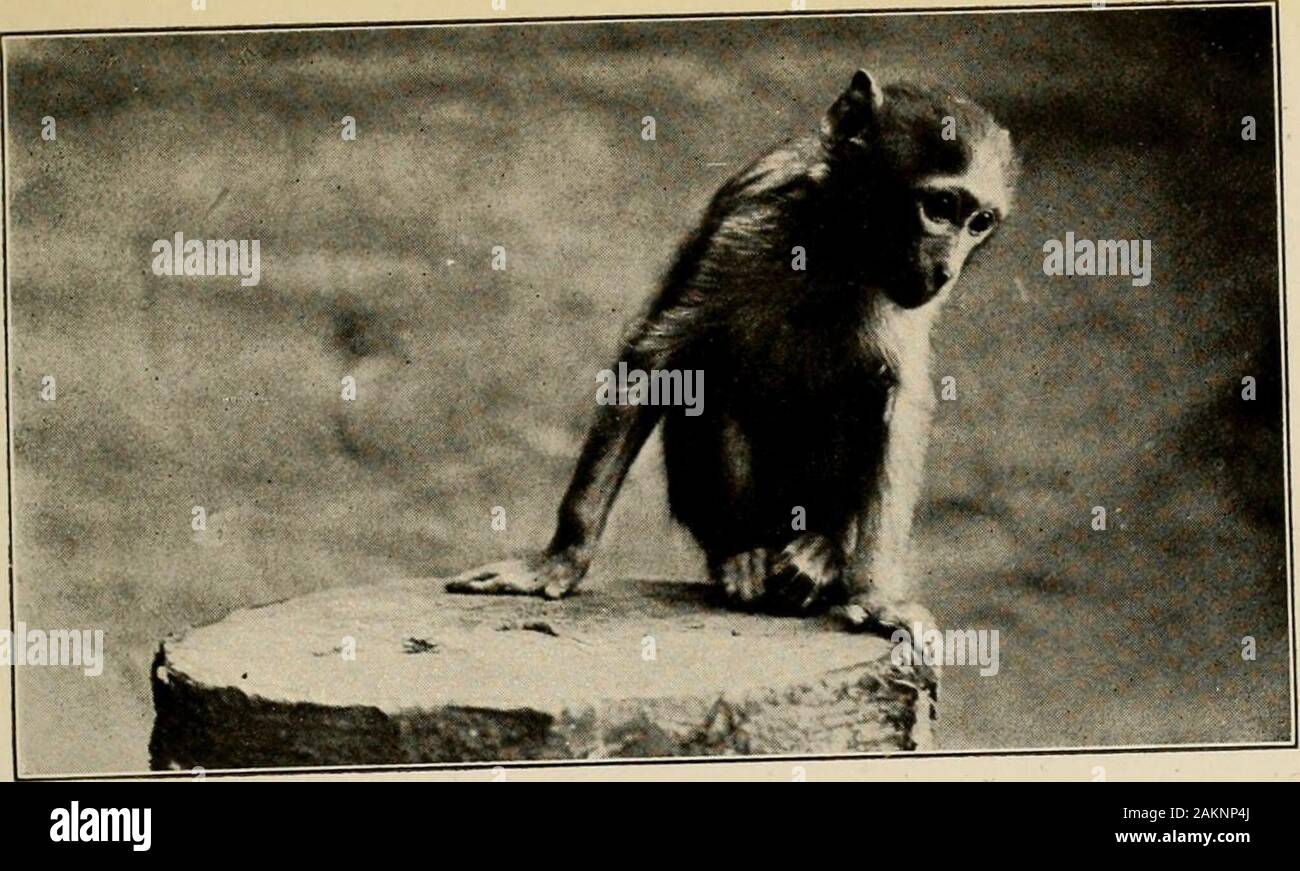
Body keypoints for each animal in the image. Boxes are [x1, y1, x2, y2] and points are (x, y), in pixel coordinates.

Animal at [452, 69, 1019, 634]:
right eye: (939, 208)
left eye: (980, 222)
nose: (946, 270)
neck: (835, 241)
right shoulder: (746, 222)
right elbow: (658, 359)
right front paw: (563, 556)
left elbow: (900, 401)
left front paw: (877, 595)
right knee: (712, 376)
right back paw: (739, 552)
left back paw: (822, 551)